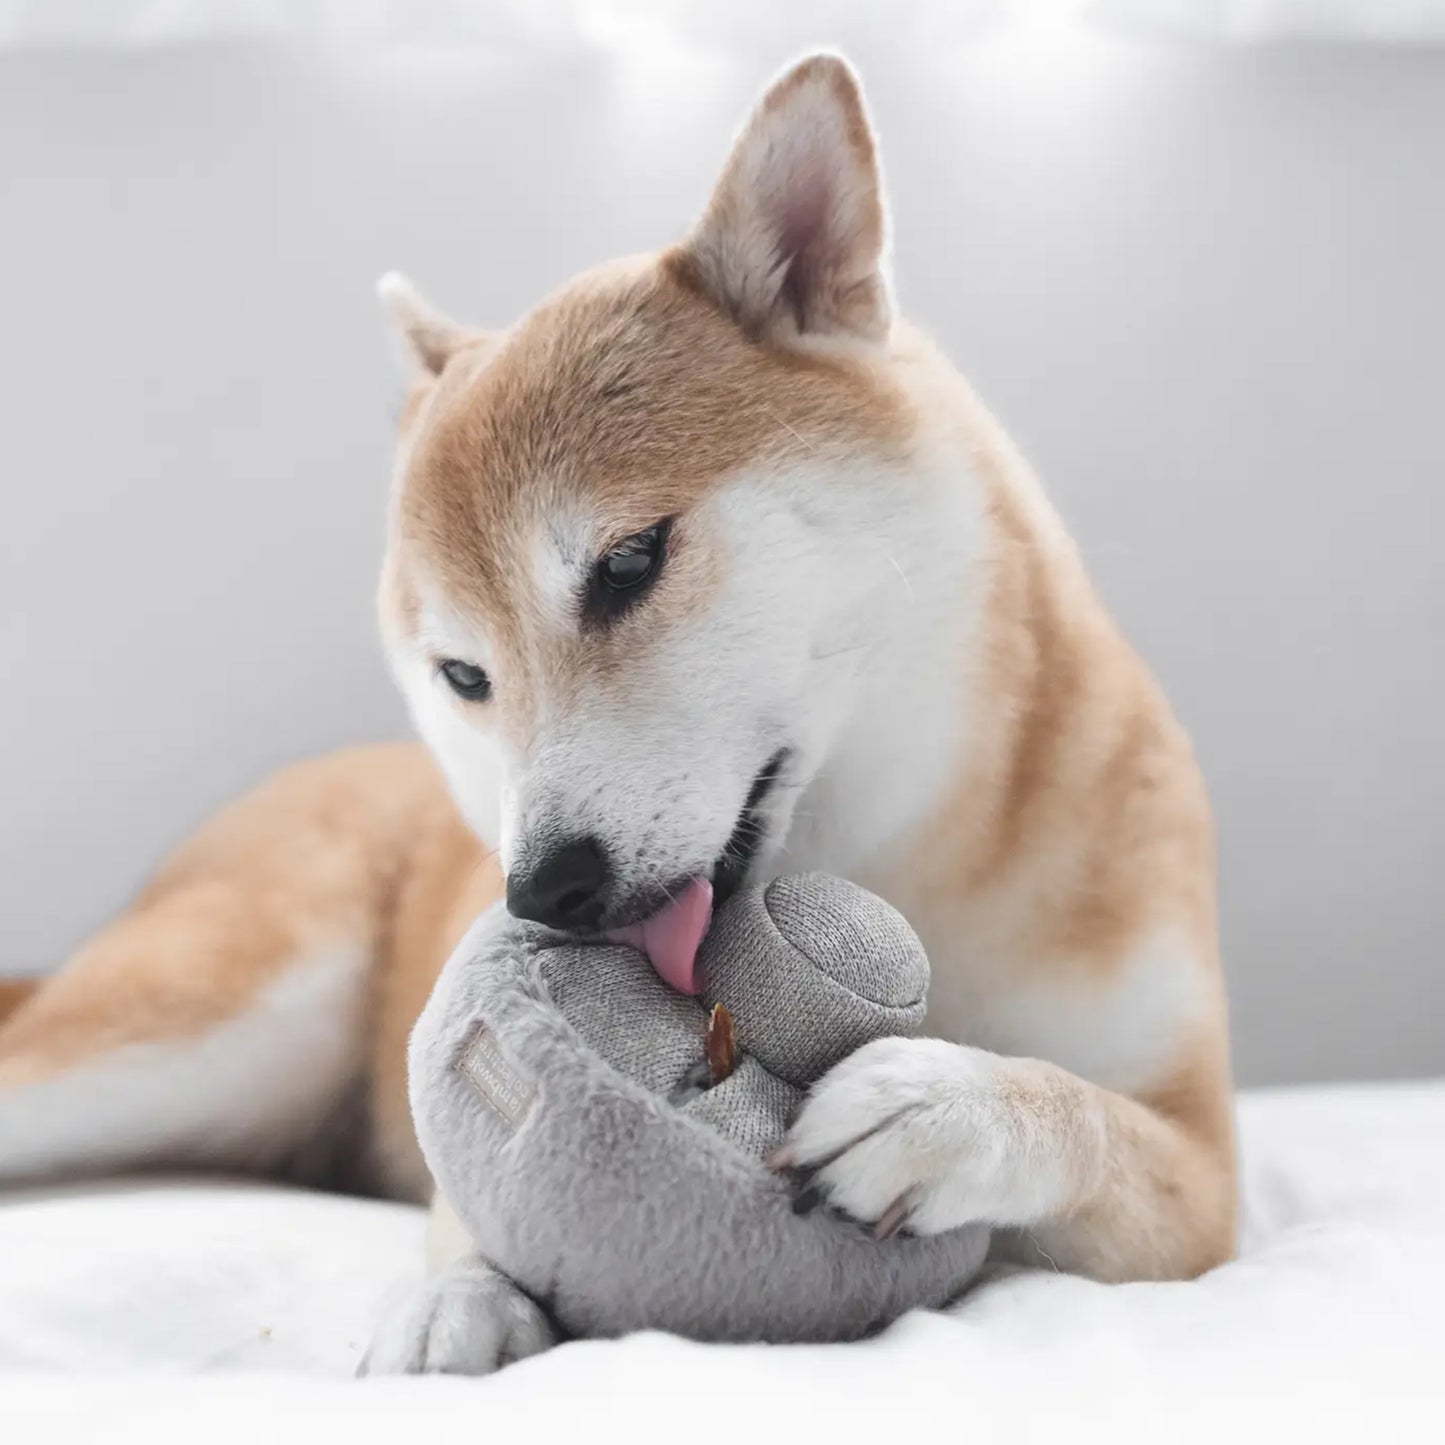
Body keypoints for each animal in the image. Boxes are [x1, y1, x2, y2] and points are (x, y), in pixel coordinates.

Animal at [5, 53, 1236, 1364]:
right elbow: (465, 1190)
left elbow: (1083, 1112)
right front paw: (459, 1293)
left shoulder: (1205, 1174)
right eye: (463, 675)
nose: (541, 891)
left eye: (629, 561)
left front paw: (943, 1100)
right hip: (208, 1010)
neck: (887, 855)